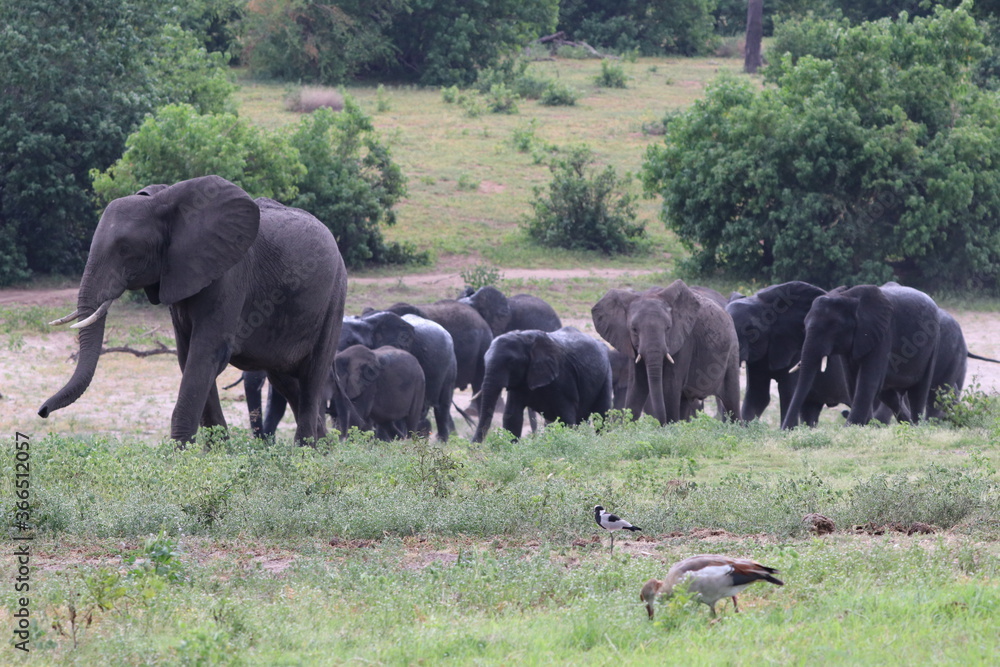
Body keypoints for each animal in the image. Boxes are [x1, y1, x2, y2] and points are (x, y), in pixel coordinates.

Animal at [40, 175, 354, 445]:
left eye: (125, 249)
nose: (42, 411)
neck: (165, 202)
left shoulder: (229, 275)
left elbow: (206, 353)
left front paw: (182, 459)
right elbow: (187, 355)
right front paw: (216, 456)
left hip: (335, 295)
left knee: (312, 376)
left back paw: (307, 453)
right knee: (287, 381)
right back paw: (323, 450)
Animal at [471, 327, 613, 443]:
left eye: (511, 362)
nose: (473, 449)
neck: (525, 338)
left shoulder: (564, 377)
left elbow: (565, 419)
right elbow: (512, 418)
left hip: (606, 372)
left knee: (602, 414)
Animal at [592, 280, 741, 424]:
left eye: (668, 328)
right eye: (633, 329)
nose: (659, 423)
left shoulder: (685, 341)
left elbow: (670, 386)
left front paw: (669, 427)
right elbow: (637, 384)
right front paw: (629, 427)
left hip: (732, 348)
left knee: (731, 398)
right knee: (684, 400)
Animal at [781, 283, 940, 429]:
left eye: (833, 327)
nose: (785, 431)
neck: (848, 297)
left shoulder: (882, 333)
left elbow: (867, 382)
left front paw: (850, 428)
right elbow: (852, 381)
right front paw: (864, 425)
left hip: (932, 343)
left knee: (918, 392)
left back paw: (916, 426)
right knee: (889, 395)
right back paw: (906, 424)